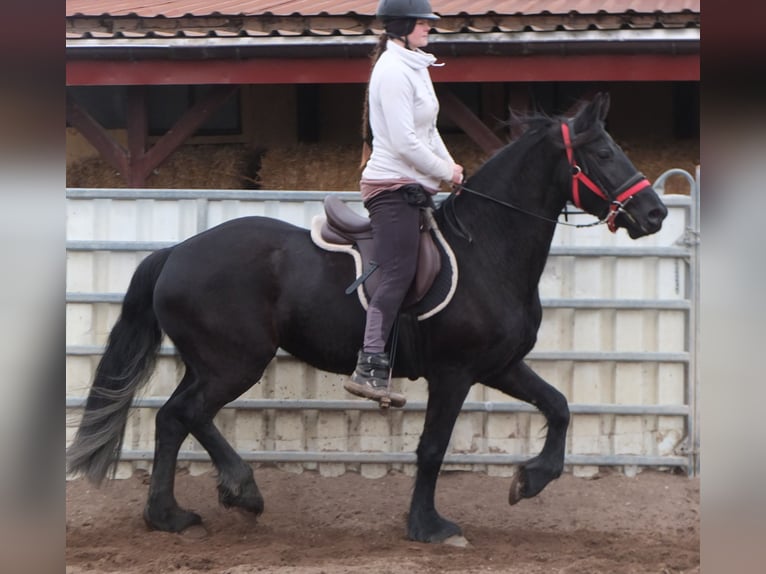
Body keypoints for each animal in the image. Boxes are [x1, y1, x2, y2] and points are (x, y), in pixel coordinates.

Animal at [67, 93, 672, 544]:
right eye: (602, 152)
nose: (656, 213)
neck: (487, 248)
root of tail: (176, 252)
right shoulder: (454, 374)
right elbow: (432, 449)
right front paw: (428, 527)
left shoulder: (499, 366)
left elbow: (559, 406)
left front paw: (529, 481)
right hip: (232, 364)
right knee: (186, 415)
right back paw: (239, 491)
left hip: (210, 363)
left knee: (173, 420)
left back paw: (170, 515)